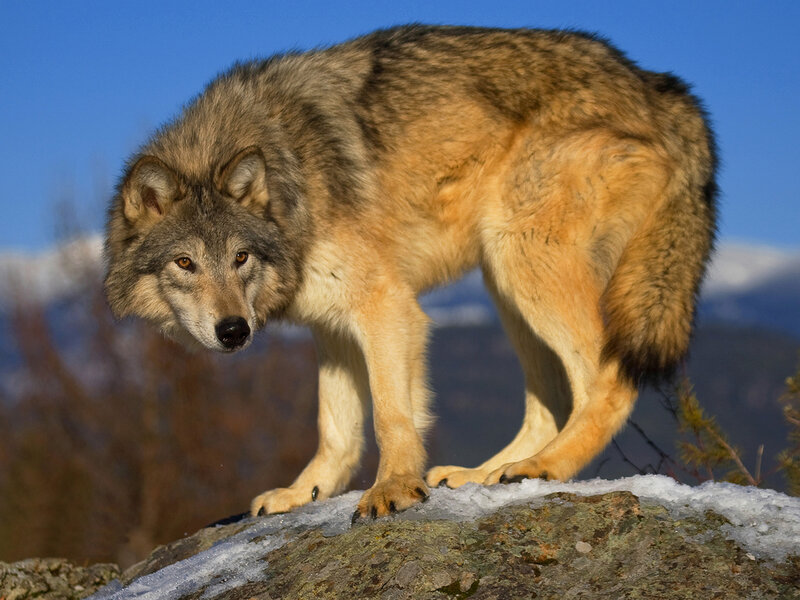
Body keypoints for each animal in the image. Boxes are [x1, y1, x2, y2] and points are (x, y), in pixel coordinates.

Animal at [105, 25, 717, 520]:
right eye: (186, 263)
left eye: (240, 258)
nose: (234, 331)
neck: (290, 174)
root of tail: (658, 85)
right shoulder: (331, 326)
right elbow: (336, 429)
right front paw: (304, 494)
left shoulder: (386, 306)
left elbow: (391, 415)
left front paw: (394, 488)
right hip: (505, 283)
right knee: (552, 403)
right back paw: (485, 475)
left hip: (523, 259)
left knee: (606, 381)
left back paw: (545, 467)